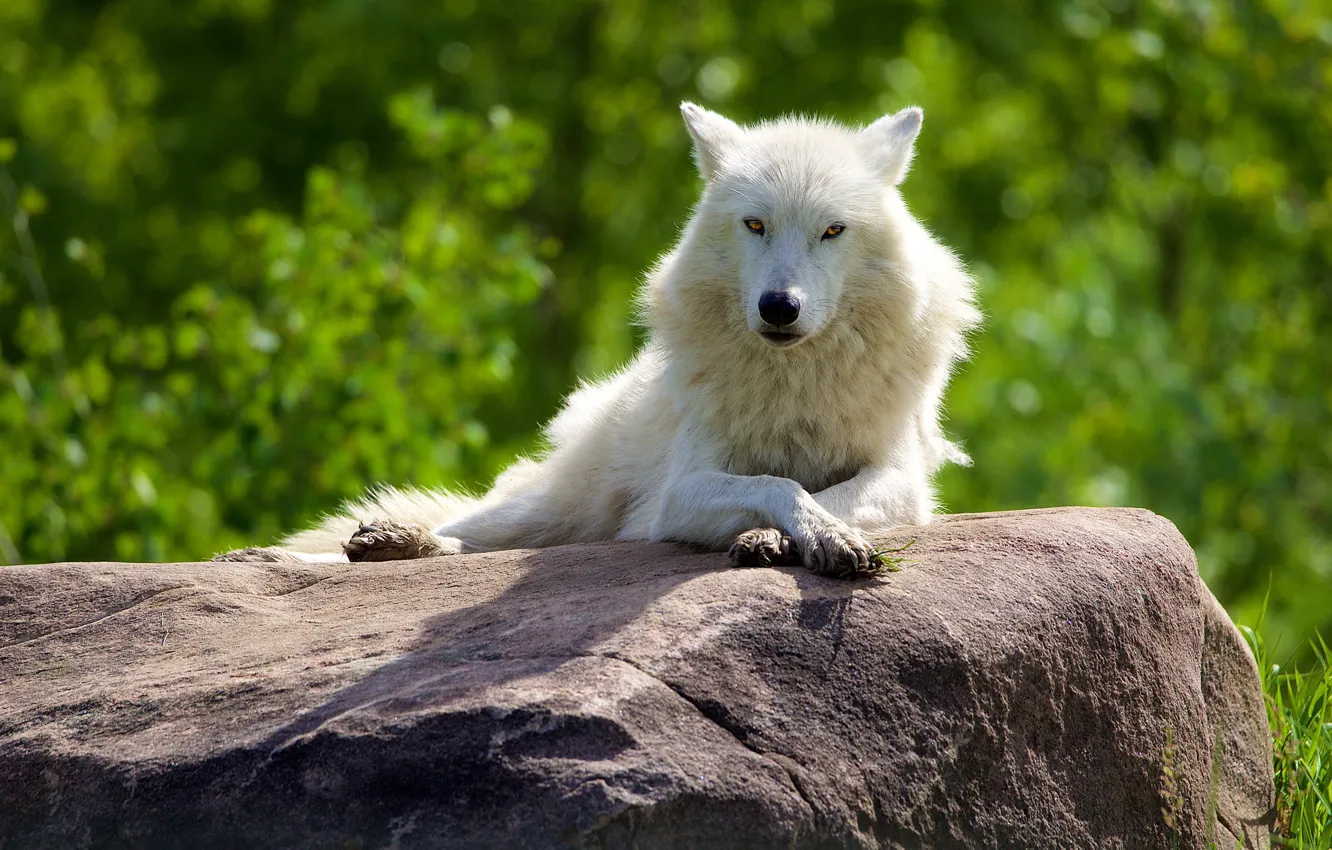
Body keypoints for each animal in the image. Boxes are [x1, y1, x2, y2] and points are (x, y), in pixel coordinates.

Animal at [215, 103, 980, 576]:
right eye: (756, 225)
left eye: (832, 231)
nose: (779, 308)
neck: (796, 382)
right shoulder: (682, 491)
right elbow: (778, 482)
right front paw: (791, 529)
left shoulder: (902, 481)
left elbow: (825, 496)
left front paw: (799, 537)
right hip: (547, 508)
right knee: (465, 530)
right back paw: (303, 554)